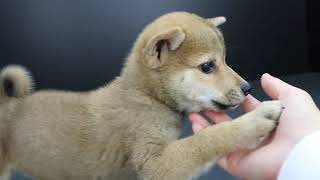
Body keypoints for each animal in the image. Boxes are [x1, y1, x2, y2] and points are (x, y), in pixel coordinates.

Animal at [0, 11, 280, 179]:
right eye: (207, 66)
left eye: (225, 59)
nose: (248, 88)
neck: (146, 96)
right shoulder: (153, 164)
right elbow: (207, 139)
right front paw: (254, 120)